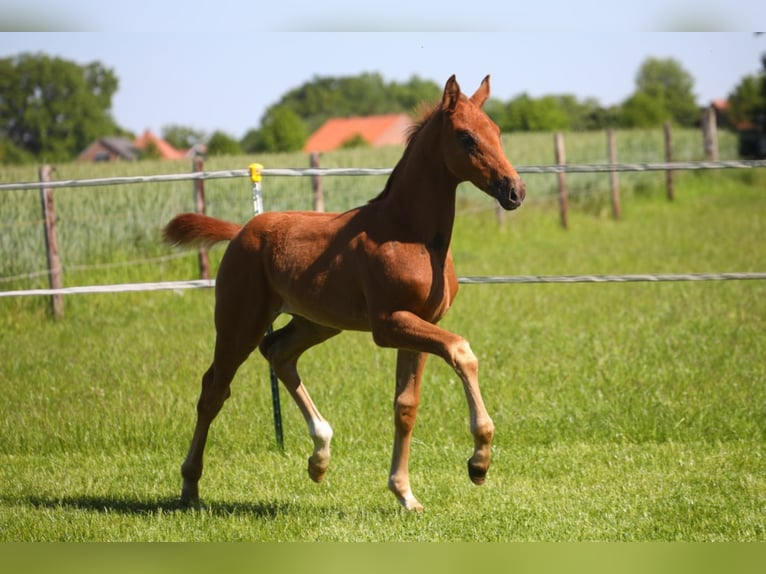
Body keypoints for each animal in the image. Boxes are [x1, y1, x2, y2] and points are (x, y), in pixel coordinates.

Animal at [166, 75, 528, 512]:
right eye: (466, 137)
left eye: (497, 133)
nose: (515, 191)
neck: (409, 232)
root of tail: (240, 232)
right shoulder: (390, 324)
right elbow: (462, 351)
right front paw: (478, 463)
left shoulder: (420, 324)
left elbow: (406, 406)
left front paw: (405, 493)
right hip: (240, 323)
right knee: (214, 389)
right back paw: (190, 485)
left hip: (316, 322)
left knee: (278, 353)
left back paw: (319, 457)